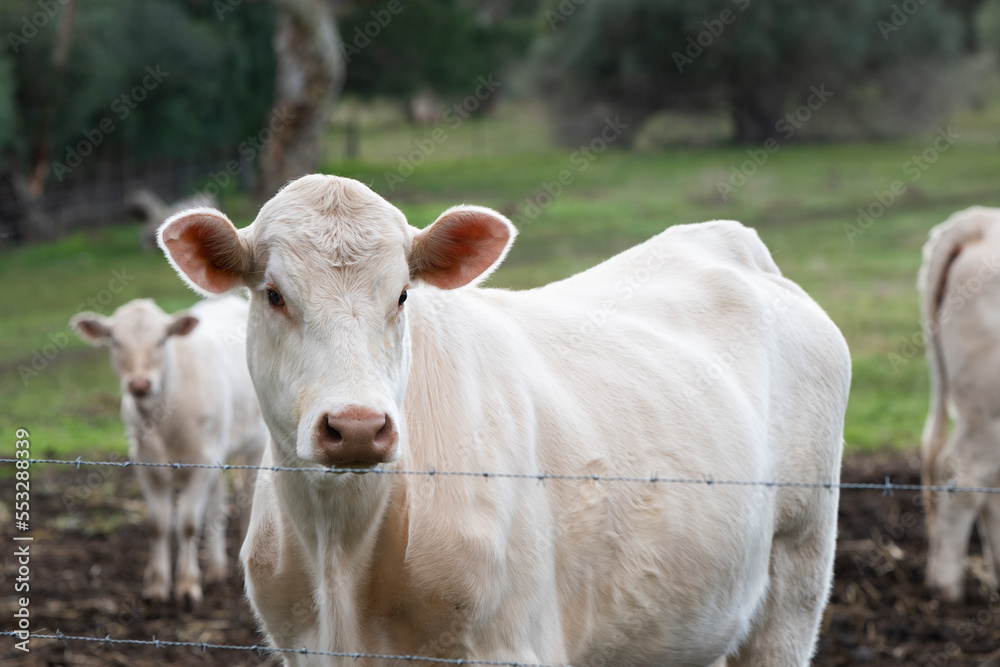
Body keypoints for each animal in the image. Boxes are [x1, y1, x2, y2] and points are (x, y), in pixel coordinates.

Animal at [70, 296, 268, 604]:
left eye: (162, 340)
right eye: (115, 340)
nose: (139, 384)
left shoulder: (203, 460)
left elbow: (187, 523)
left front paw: (187, 585)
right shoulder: (145, 463)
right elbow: (158, 523)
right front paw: (157, 584)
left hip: (252, 445)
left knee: (246, 500)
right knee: (216, 503)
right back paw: (215, 568)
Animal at [160, 175, 848, 664]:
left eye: (402, 295)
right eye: (274, 295)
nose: (357, 425)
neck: (341, 554)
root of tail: (725, 238)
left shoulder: (512, 643)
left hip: (797, 570)